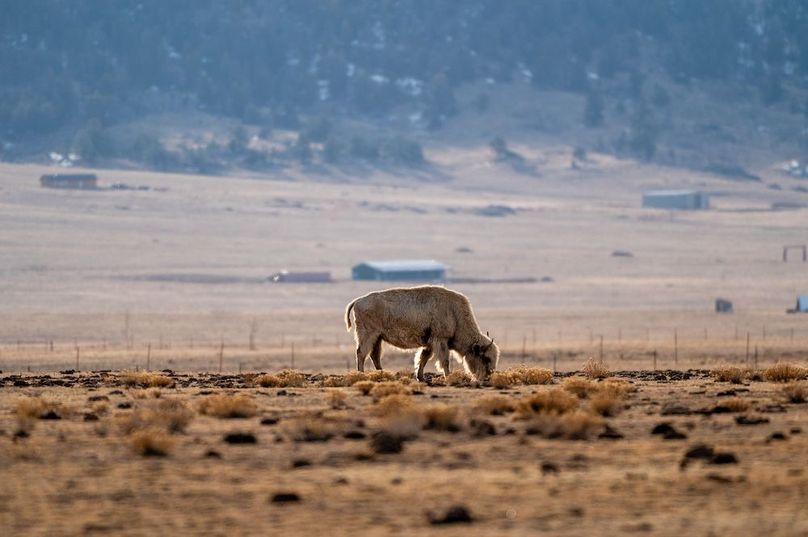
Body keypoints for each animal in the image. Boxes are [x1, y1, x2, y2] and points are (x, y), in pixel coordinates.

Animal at [344, 285, 499, 381]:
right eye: (485, 358)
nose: (487, 376)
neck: (455, 314)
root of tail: (359, 300)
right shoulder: (440, 340)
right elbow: (444, 361)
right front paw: (448, 376)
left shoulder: (429, 344)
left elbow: (423, 359)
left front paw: (421, 377)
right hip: (367, 335)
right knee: (361, 353)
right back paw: (361, 374)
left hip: (377, 338)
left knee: (374, 356)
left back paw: (384, 374)